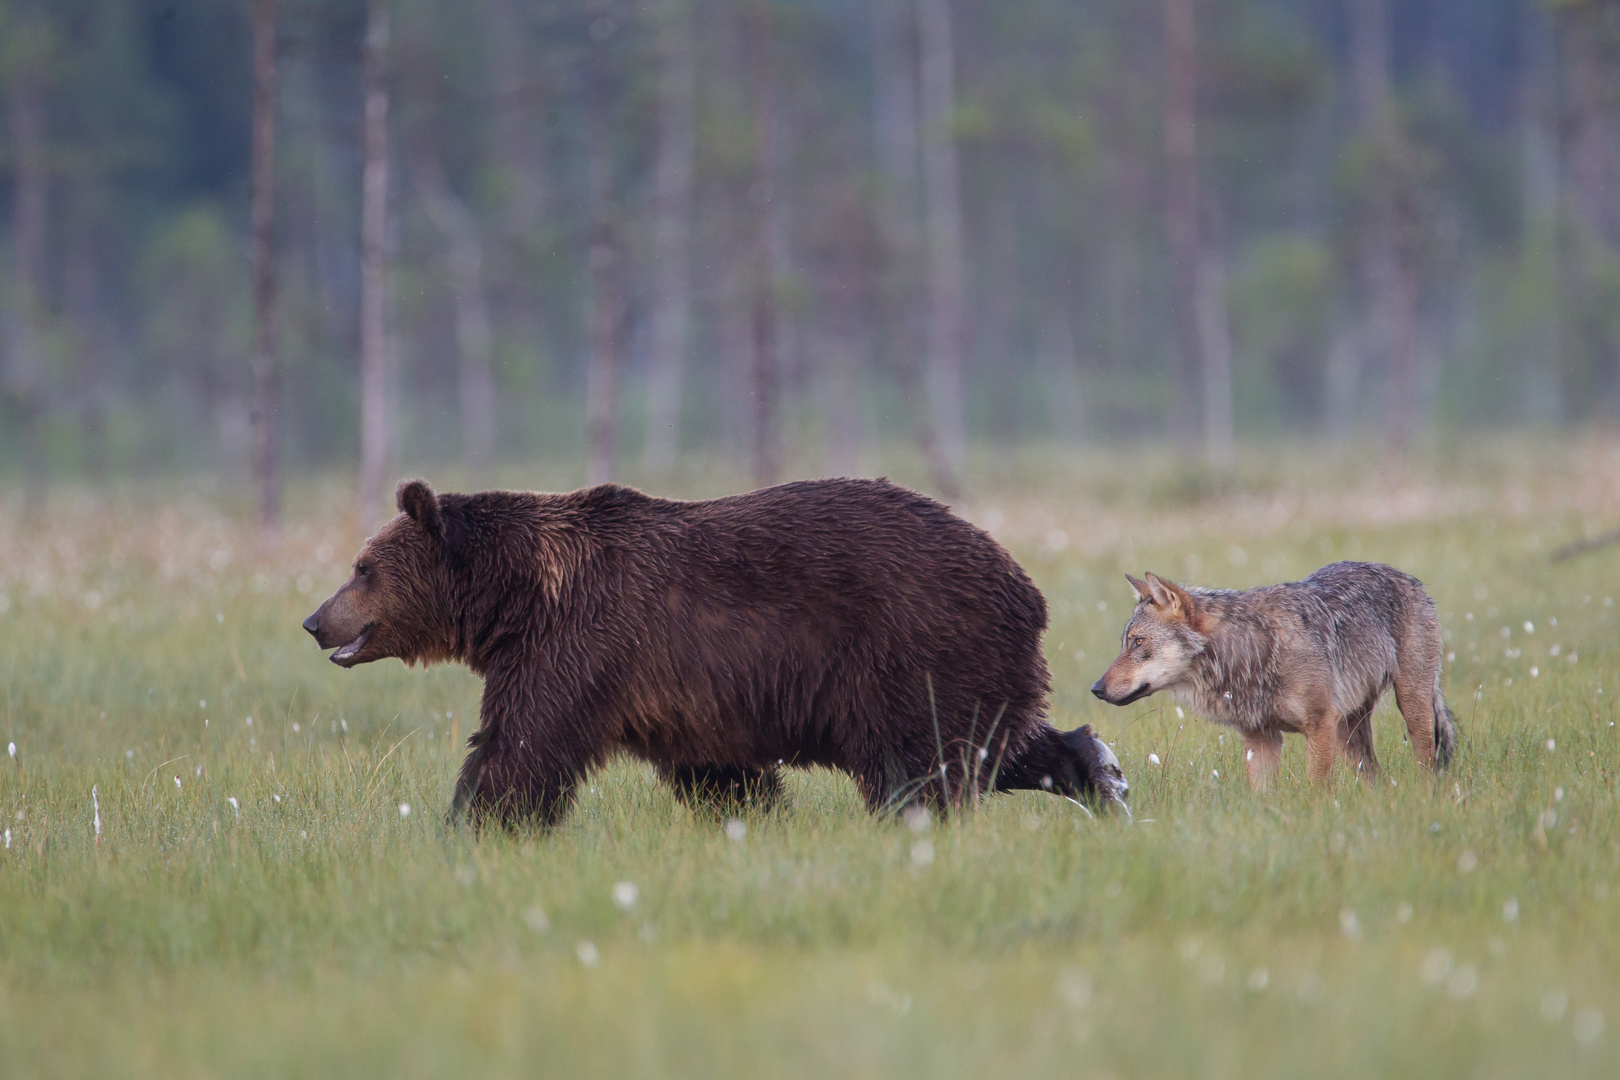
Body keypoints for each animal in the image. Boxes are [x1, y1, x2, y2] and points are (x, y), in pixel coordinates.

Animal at [301, 476, 1127, 829]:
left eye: (363, 567)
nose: (314, 621)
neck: (515, 598)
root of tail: (1027, 588)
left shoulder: (579, 642)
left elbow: (523, 742)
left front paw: (472, 821)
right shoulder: (682, 689)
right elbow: (714, 767)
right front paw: (752, 813)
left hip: (909, 645)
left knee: (922, 761)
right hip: (966, 660)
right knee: (995, 743)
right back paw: (1102, 775)